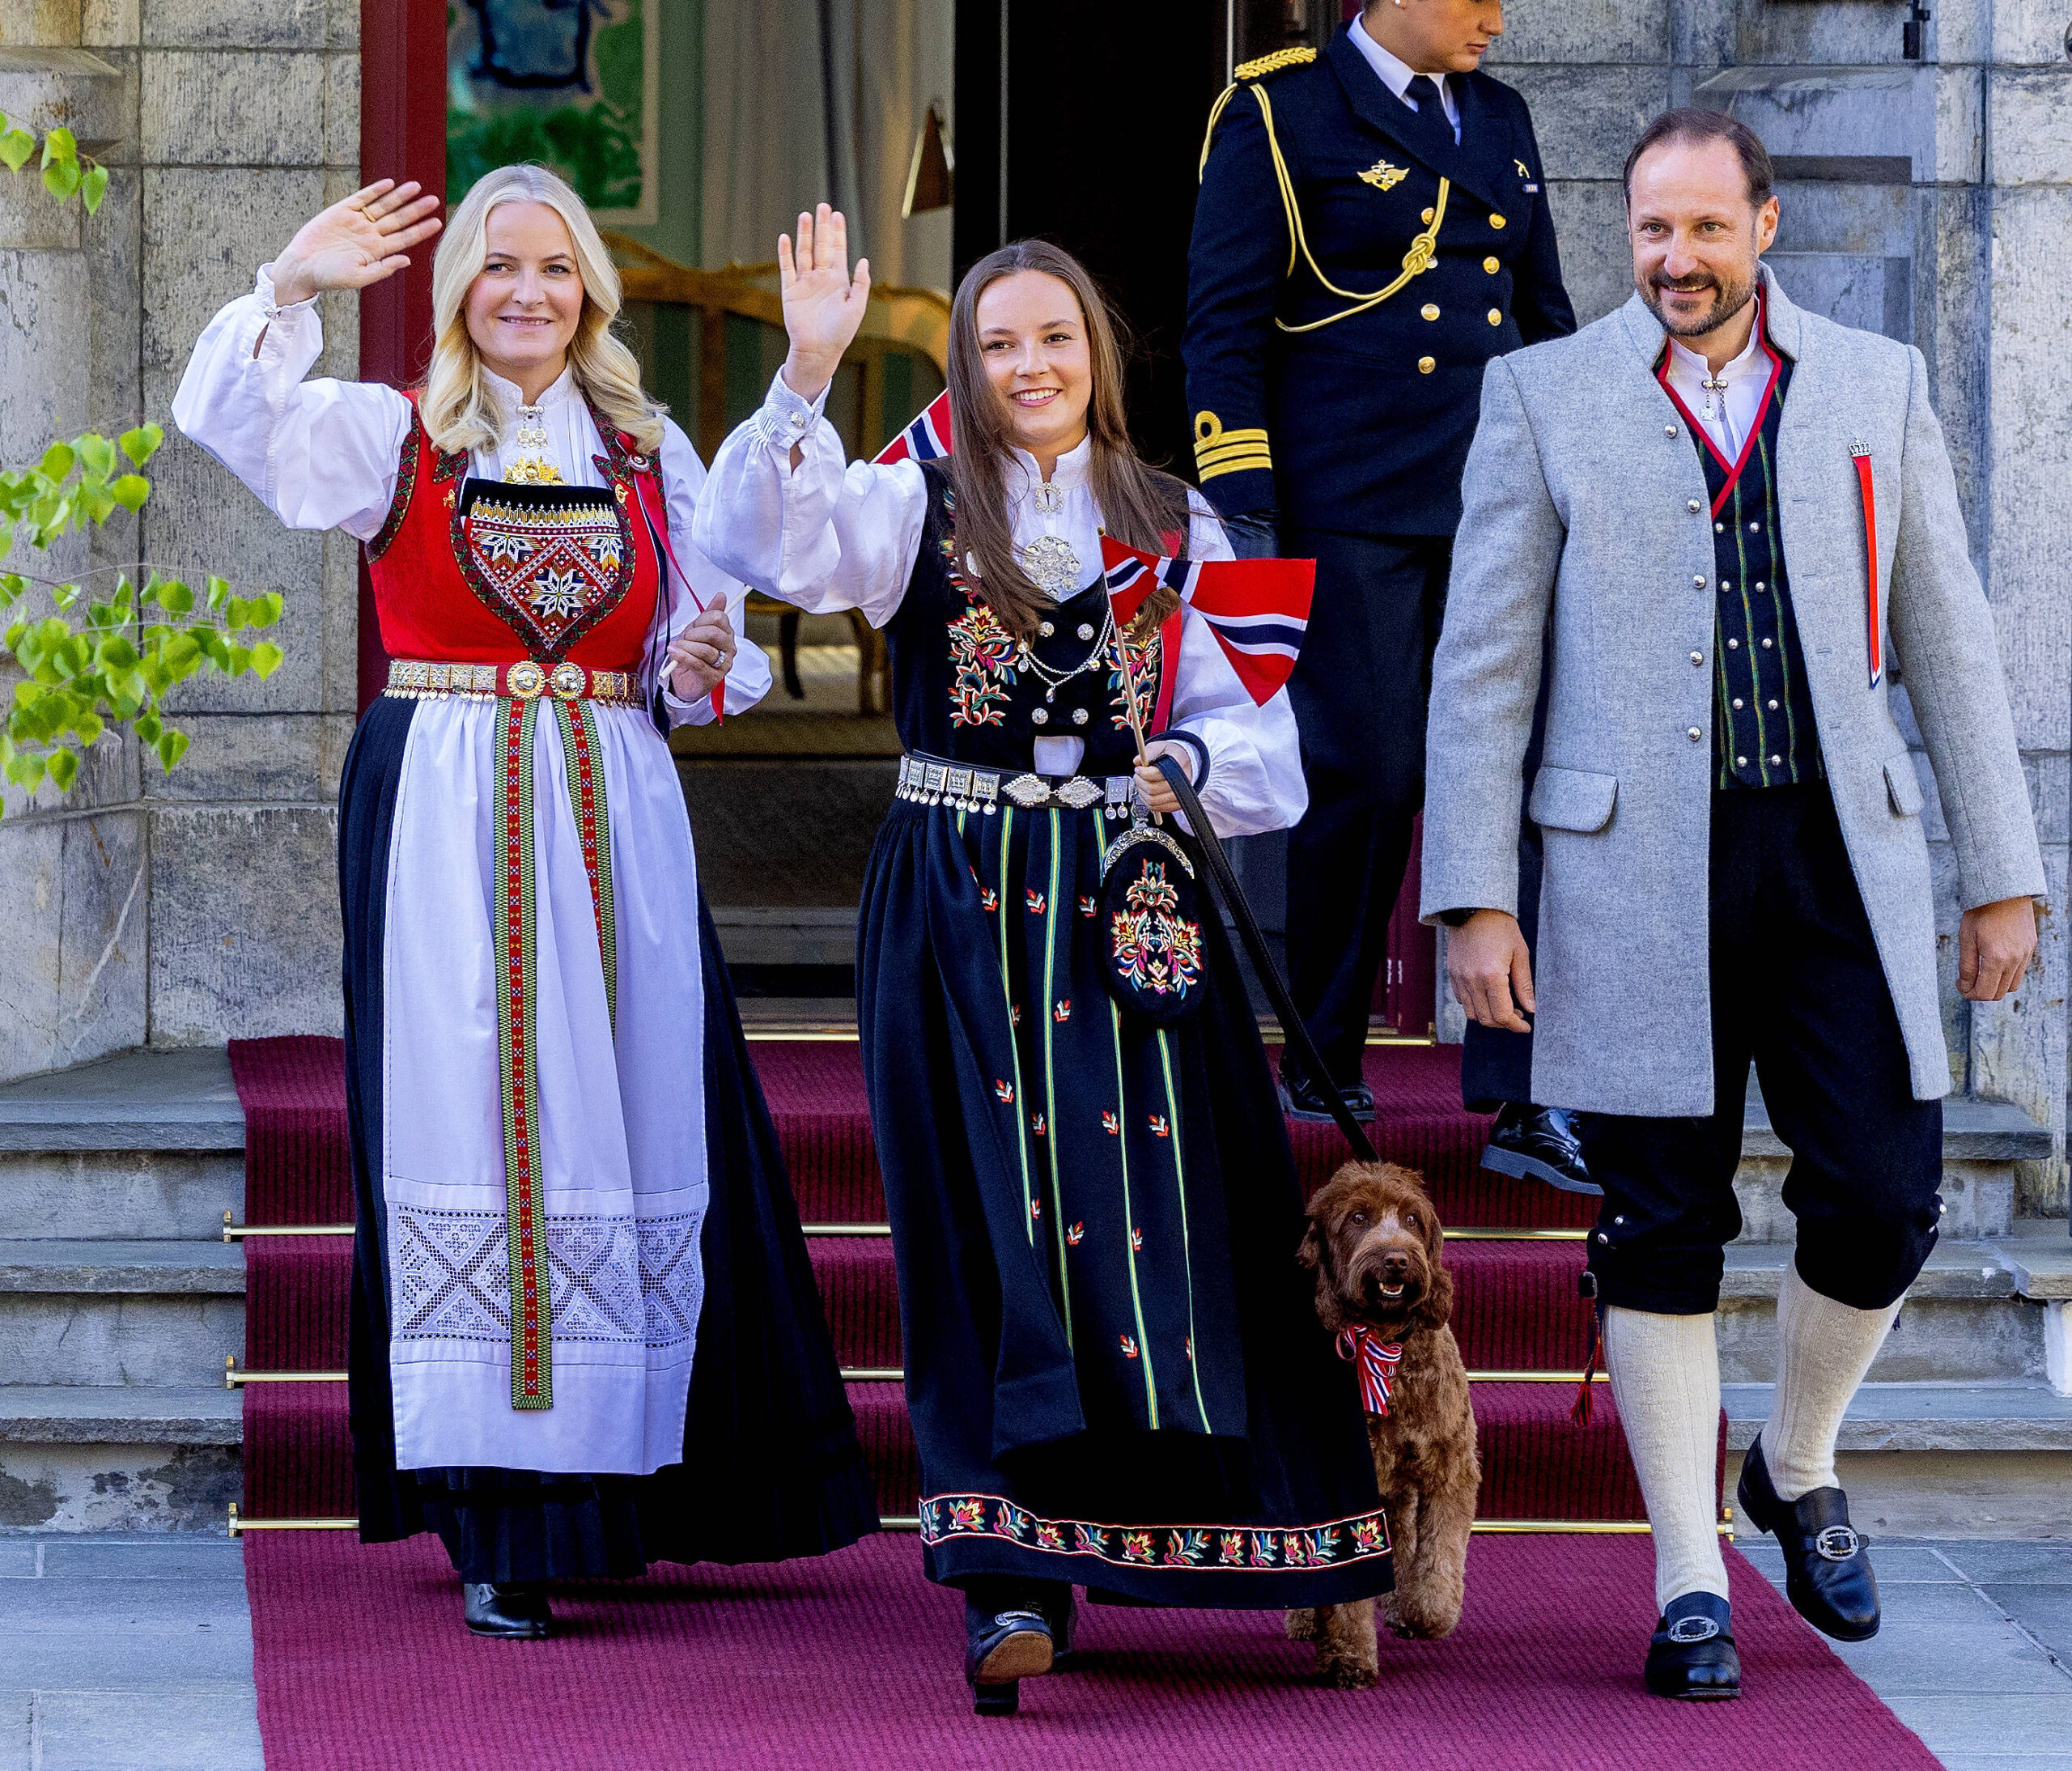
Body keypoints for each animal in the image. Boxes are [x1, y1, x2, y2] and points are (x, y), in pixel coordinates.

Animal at [1284, 1160, 1483, 1690]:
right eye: (1357, 1218)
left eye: (1412, 1219)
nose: (1396, 1259)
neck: (1384, 1341)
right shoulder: (1344, 1489)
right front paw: (1349, 1657)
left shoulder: (1449, 1468)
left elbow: (1438, 1553)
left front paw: (1426, 1613)